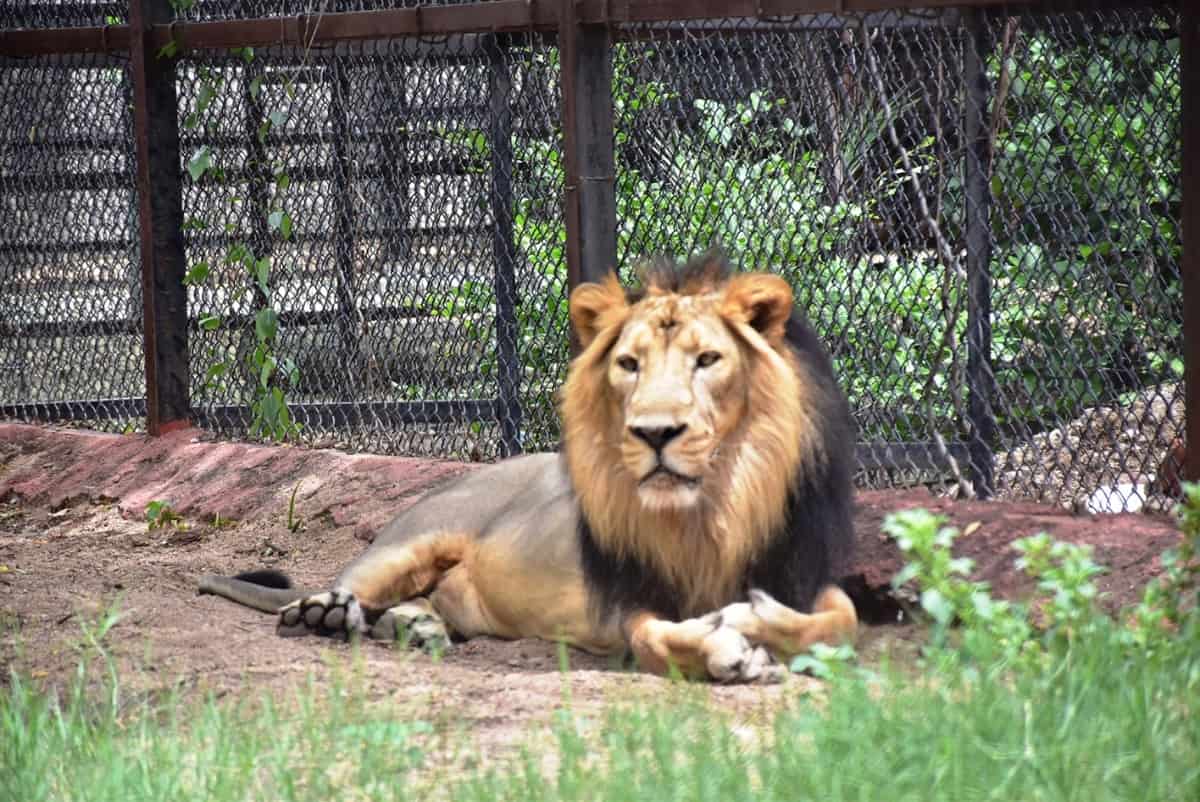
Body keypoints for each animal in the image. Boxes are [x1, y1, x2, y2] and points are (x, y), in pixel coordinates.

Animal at [204, 253, 864, 681]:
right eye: (628, 364)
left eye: (707, 359)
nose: (655, 433)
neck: (708, 510)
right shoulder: (626, 602)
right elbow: (656, 639)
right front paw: (728, 648)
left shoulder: (804, 572)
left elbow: (842, 620)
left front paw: (752, 619)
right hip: (405, 545)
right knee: (344, 592)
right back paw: (323, 614)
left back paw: (418, 628)